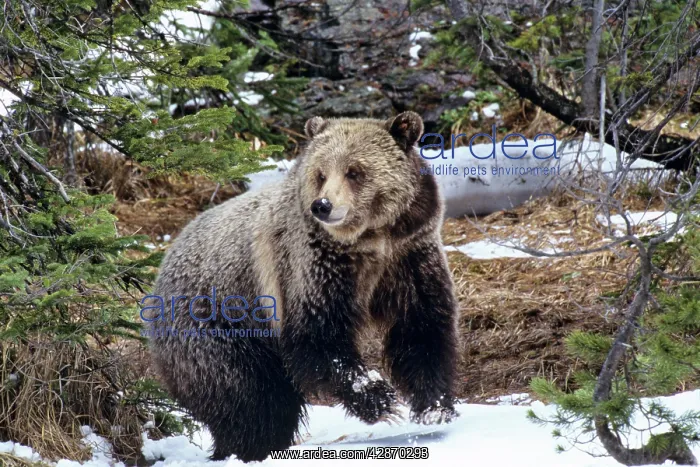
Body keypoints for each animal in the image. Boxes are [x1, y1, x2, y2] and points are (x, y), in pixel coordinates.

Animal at [144, 111, 460, 462]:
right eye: (321, 174)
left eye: (354, 171)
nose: (322, 205)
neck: (369, 242)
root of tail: (161, 269)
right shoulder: (311, 267)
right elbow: (317, 339)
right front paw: (378, 397)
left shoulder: (408, 258)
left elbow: (422, 327)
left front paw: (434, 406)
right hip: (218, 326)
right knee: (250, 399)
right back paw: (246, 449)